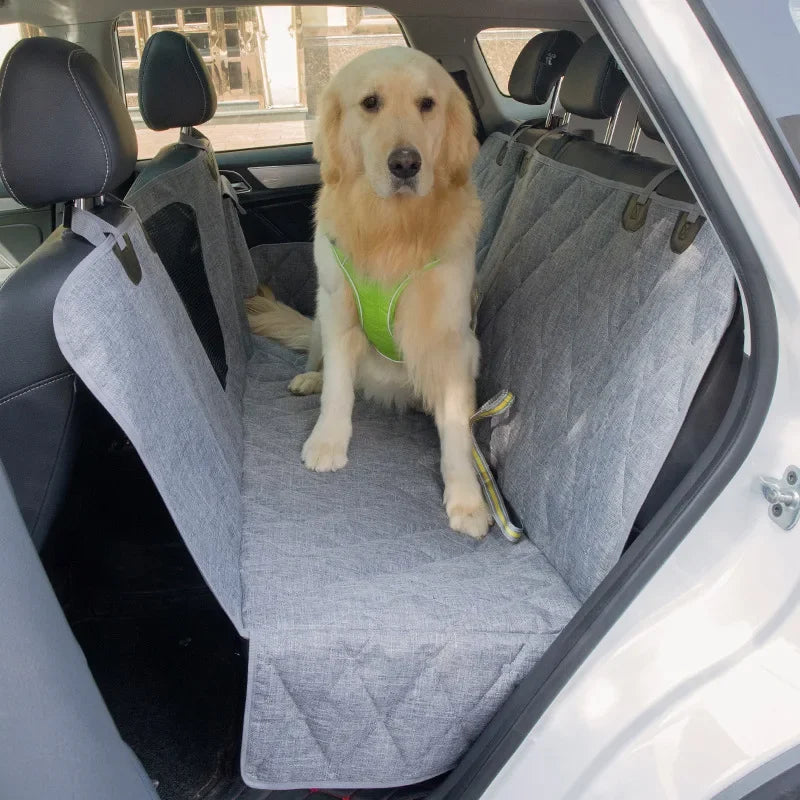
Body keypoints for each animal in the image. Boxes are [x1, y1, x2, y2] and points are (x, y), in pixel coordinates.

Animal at [250, 48, 488, 536]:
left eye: (427, 104)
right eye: (371, 103)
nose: (406, 164)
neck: (390, 229)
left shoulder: (452, 342)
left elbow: (457, 427)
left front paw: (467, 500)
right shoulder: (339, 309)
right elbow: (338, 389)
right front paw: (327, 442)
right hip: (321, 316)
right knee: (322, 363)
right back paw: (310, 377)